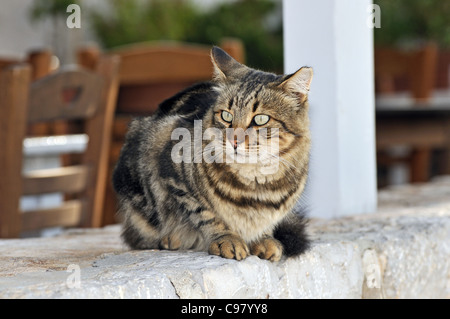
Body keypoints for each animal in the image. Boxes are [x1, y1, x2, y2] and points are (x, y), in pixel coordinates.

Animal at [112, 47, 312, 262]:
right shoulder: (171, 172)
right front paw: (226, 239)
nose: (234, 141)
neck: (254, 185)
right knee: (137, 236)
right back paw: (169, 239)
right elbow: (206, 214)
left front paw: (263, 239)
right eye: (226, 116)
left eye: (260, 119)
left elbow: (266, 223)